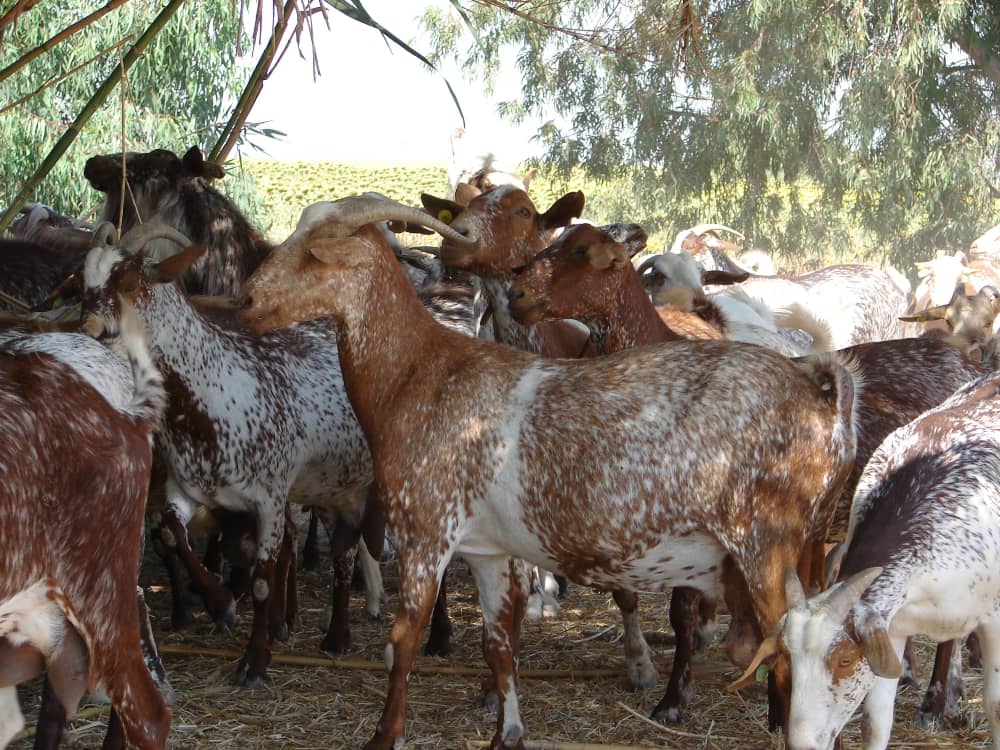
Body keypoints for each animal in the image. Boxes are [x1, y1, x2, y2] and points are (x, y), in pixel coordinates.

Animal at [239, 193, 862, 749]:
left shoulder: (425, 530)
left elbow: (405, 638)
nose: (244, 297)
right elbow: (497, 645)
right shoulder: (486, 548)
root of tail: (820, 398)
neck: (419, 373)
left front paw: (384, 735)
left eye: (317, 250)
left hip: (765, 543)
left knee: (793, 658)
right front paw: (506, 733)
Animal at [735, 369, 1000, 750]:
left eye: (845, 659)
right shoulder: (894, 626)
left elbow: (995, 707)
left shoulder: (994, 620)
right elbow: (875, 722)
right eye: (787, 657)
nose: (802, 743)